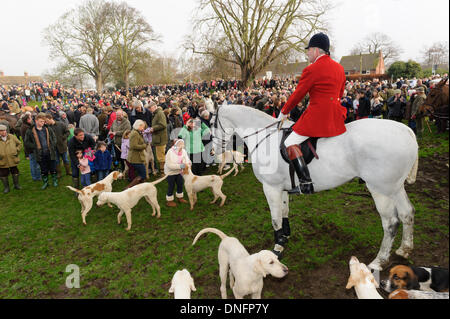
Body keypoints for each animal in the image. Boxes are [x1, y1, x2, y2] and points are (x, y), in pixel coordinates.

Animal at [210, 106, 418, 272]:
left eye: (211, 124)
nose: (213, 152)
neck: (264, 138)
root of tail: (405, 130)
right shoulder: (282, 188)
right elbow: (284, 212)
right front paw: (285, 237)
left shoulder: (270, 188)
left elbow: (275, 219)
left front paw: (277, 249)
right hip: (395, 187)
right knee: (407, 213)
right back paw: (405, 249)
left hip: (380, 189)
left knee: (391, 223)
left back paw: (379, 261)